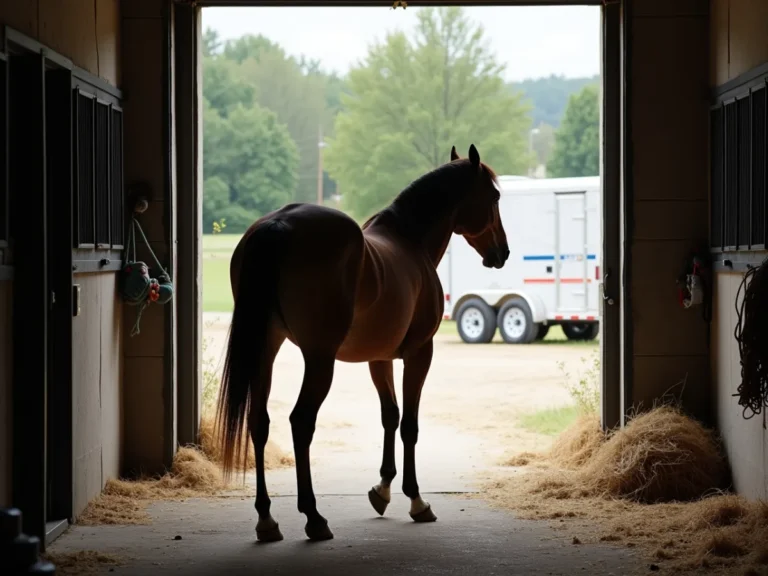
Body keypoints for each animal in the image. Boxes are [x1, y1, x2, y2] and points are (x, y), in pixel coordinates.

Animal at [216, 144, 509, 543]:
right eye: (494, 197)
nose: (502, 253)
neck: (409, 242)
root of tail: (279, 224)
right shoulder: (420, 353)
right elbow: (409, 424)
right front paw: (417, 500)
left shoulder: (379, 359)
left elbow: (390, 415)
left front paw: (382, 490)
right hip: (319, 358)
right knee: (300, 422)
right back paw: (314, 517)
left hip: (266, 349)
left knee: (259, 423)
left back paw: (267, 520)